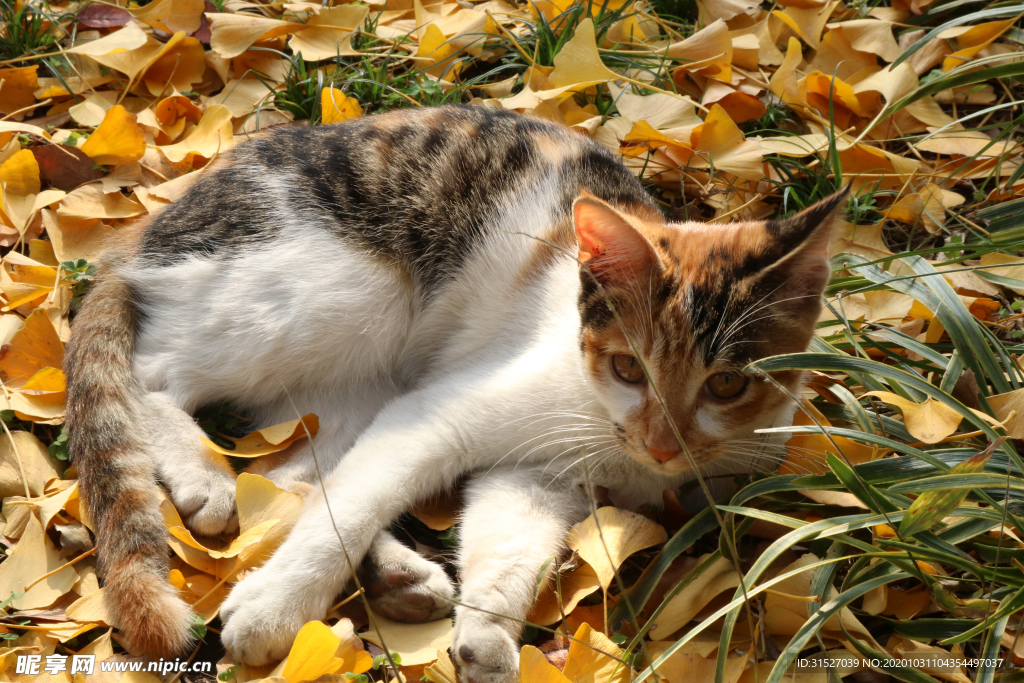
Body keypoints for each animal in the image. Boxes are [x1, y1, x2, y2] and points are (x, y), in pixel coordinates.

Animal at [66, 104, 847, 679]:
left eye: (727, 384)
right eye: (630, 368)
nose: (661, 443)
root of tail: (150, 231)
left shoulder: (537, 475)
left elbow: (510, 544)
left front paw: (489, 633)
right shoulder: (439, 413)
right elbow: (352, 508)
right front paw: (272, 610)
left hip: (353, 380)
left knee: (291, 476)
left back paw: (400, 576)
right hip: (347, 291)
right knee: (157, 372)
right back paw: (204, 475)